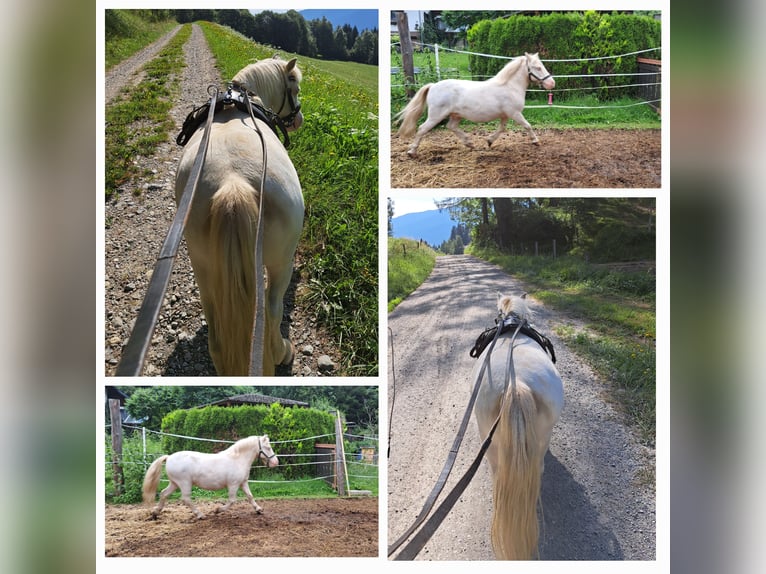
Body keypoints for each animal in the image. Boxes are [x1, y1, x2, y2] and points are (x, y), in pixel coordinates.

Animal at [142, 434, 280, 520]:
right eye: (268, 447)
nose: (275, 462)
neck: (237, 459)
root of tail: (169, 457)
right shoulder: (233, 484)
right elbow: (232, 500)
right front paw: (218, 510)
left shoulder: (243, 482)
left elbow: (250, 496)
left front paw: (259, 509)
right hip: (184, 483)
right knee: (186, 499)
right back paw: (200, 515)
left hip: (174, 483)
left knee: (164, 494)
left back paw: (155, 513)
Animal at [176, 55, 304, 378]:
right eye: (295, 87)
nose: (298, 119)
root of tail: (233, 185)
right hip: (281, 262)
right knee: (272, 309)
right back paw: (283, 351)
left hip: (203, 265)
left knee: (215, 329)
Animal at [396, 53, 552, 159]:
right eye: (538, 67)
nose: (552, 83)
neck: (510, 87)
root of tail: (433, 86)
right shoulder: (515, 113)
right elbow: (528, 126)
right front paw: (536, 141)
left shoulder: (505, 115)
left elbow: (501, 129)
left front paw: (489, 141)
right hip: (436, 116)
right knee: (422, 129)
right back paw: (412, 151)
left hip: (456, 115)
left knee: (451, 126)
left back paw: (469, 143)